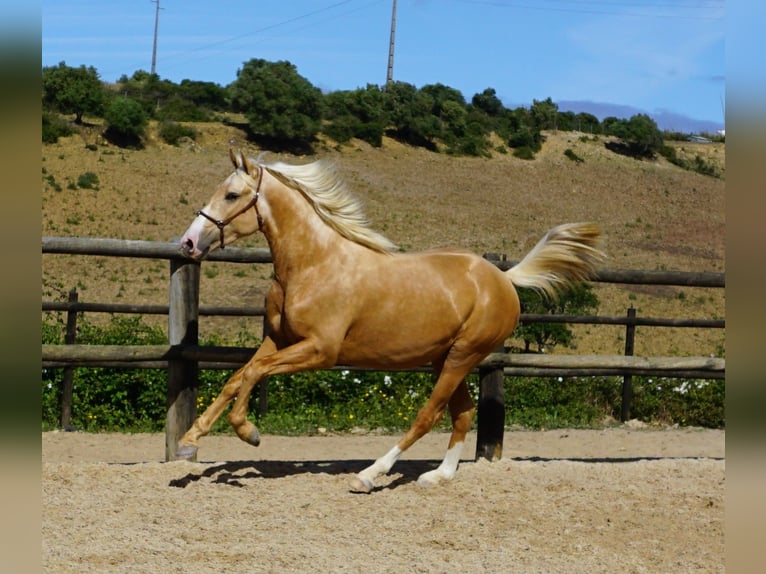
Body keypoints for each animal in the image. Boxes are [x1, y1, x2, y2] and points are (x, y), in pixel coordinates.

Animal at [177, 151, 604, 492]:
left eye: (231, 195)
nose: (188, 243)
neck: (313, 264)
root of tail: (504, 279)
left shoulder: (320, 350)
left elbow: (253, 374)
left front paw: (248, 432)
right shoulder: (277, 341)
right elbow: (238, 377)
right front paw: (190, 438)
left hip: (462, 356)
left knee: (428, 416)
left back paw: (369, 475)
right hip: (445, 359)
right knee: (463, 413)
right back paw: (438, 476)